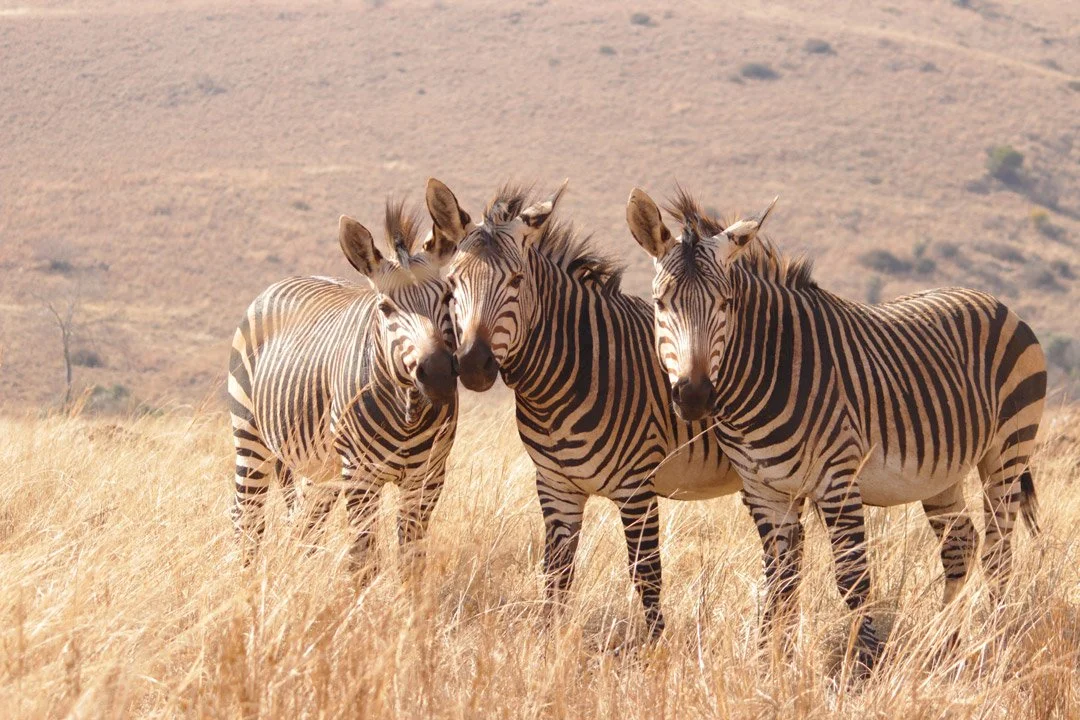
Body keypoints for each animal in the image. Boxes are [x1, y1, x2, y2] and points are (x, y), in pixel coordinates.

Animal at [228, 201, 458, 571]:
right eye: (385, 308)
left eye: (449, 297)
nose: (437, 373)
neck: (408, 411)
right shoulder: (361, 475)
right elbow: (363, 559)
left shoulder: (429, 477)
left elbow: (411, 559)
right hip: (250, 435)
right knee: (246, 515)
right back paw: (244, 576)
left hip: (321, 467)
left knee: (304, 521)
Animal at [423, 178, 743, 636]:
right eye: (452, 283)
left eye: (516, 280)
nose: (472, 365)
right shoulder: (557, 486)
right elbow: (557, 573)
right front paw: (550, 641)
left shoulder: (637, 487)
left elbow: (647, 576)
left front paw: (657, 648)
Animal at [627, 187, 1046, 669]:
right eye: (661, 304)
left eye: (726, 304)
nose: (694, 396)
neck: (768, 371)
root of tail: (995, 302)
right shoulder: (765, 490)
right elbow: (780, 581)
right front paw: (772, 664)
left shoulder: (838, 480)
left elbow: (852, 580)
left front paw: (864, 664)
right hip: (944, 471)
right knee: (960, 543)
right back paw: (945, 645)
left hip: (1007, 451)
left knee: (999, 553)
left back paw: (994, 644)